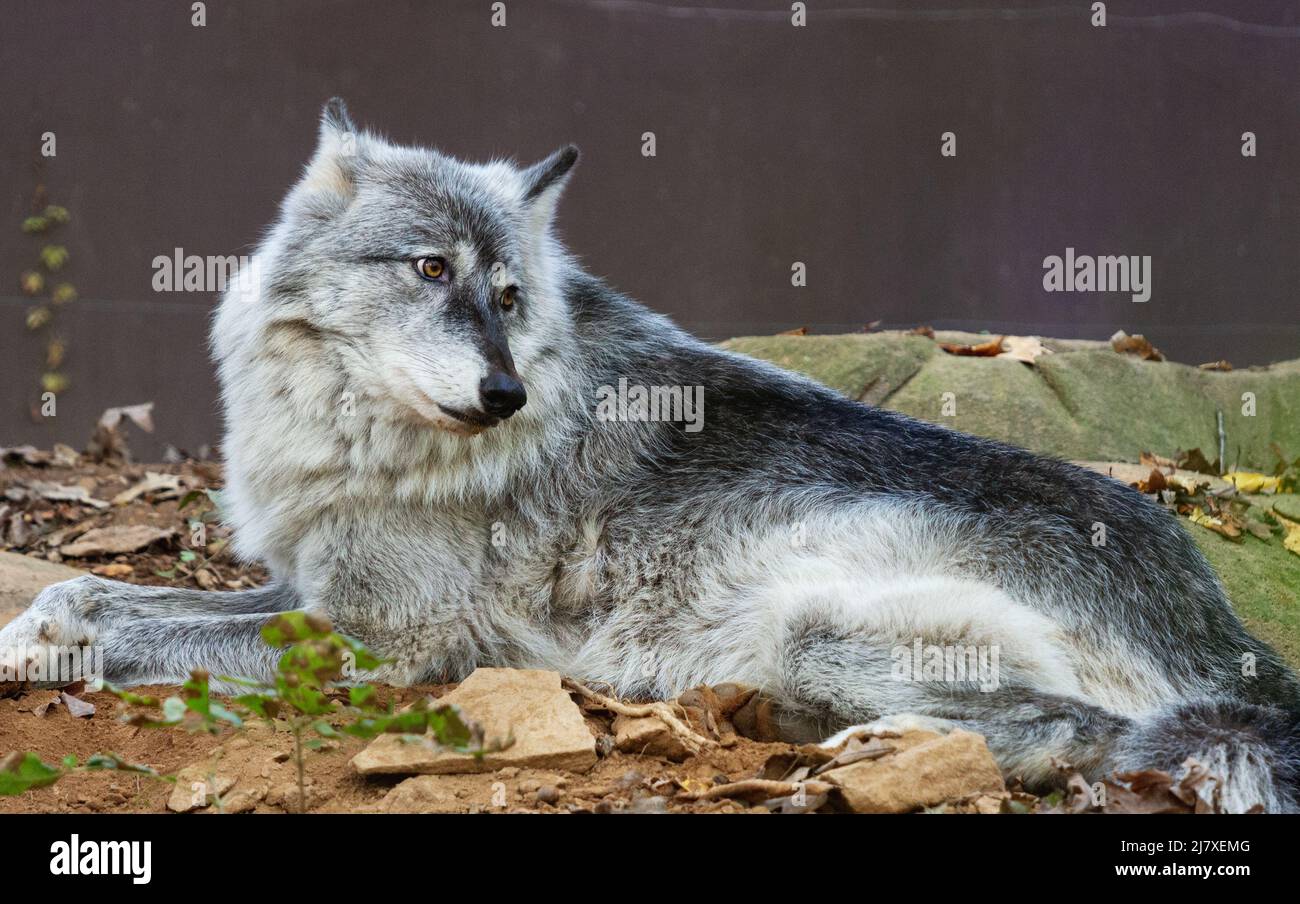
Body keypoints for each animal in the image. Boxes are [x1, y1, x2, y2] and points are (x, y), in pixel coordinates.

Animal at [2, 100, 1300, 811]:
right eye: (430, 269)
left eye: (508, 295)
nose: (504, 392)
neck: (355, 433)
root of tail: (1220, 624)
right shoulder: (309, 584)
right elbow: (93, 589)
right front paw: (39, 625)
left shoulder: (389, 640)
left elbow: (143, 630)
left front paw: (47, 650)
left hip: (813, 616)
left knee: (1084, 736)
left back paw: (875, 747)